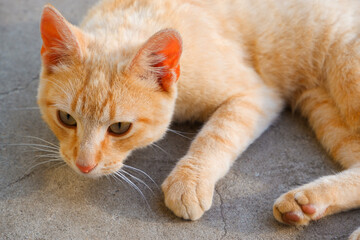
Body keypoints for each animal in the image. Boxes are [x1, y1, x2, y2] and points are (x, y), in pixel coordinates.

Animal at [37, 0, 360, 238]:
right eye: (66, 118)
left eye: (119, 127)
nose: (83, 165)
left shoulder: (257, 94)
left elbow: (216, 134)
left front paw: (189, 181)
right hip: (325, 110)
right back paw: (305, 204)